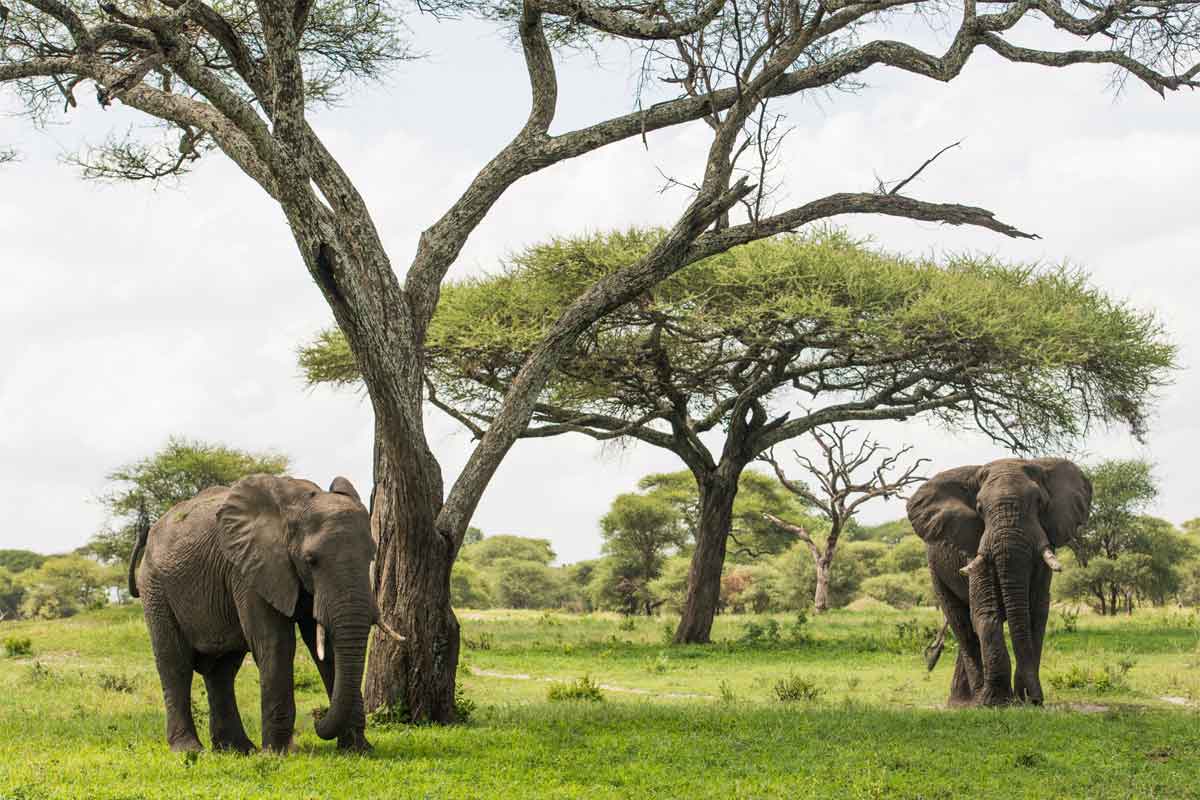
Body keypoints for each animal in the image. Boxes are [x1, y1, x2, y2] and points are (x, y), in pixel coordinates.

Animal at [129, 474, 405, 753]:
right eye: (311, 560)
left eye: (371, 556)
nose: (317, 720)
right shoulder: (249, 569)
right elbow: (276, 643)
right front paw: (277, 753)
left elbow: (326, 646)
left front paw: (358, 749)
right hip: (155, 588)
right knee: (176, 664)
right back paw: (190, 749)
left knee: (222, 671)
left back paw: (237, 749)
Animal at [902, 460, 1094, 705]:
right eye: (979, 508)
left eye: (1039, 502)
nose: (1030, 698)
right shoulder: (974, 546)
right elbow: (985, 611)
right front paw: (995, 702)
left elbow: (1036, 612)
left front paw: (1027, 700)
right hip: (935, 570)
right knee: (961, 624)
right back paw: (970, 700)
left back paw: (965, 700)